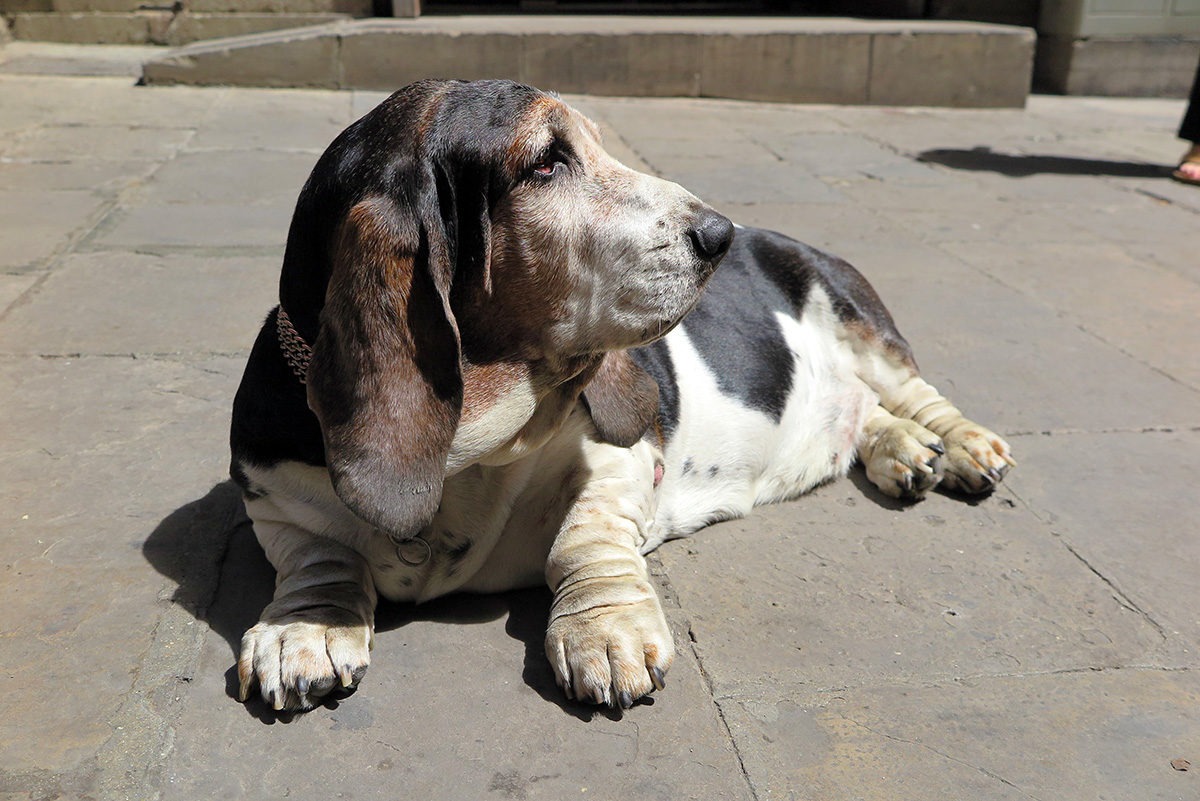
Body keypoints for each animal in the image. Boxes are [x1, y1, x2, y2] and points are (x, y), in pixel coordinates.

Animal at [226, 77, 1012, 709]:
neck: (467, 455)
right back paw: (905, 451)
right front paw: (306, 629)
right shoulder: (273, 497)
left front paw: (605, 632)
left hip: (856, 316)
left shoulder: (617, 459)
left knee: (913, 391)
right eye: (545, 162)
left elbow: (584, 539)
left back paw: (963, 448)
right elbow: (321, 554)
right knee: (870, 410)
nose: (719, 234)